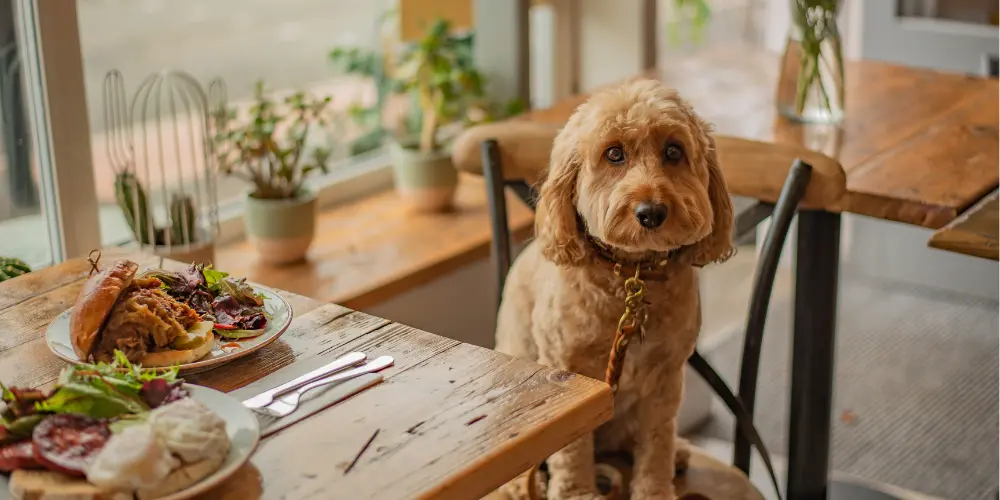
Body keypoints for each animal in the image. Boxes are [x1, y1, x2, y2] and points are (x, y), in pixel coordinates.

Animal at [494, 80, 736, 498]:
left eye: (674, 151)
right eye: (614, 154)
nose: (651, 213)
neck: (631, 277)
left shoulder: (665, 377)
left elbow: (656, 441)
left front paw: (654, 490)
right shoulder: (570, 374)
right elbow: (572, 446)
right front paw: (577, 492)